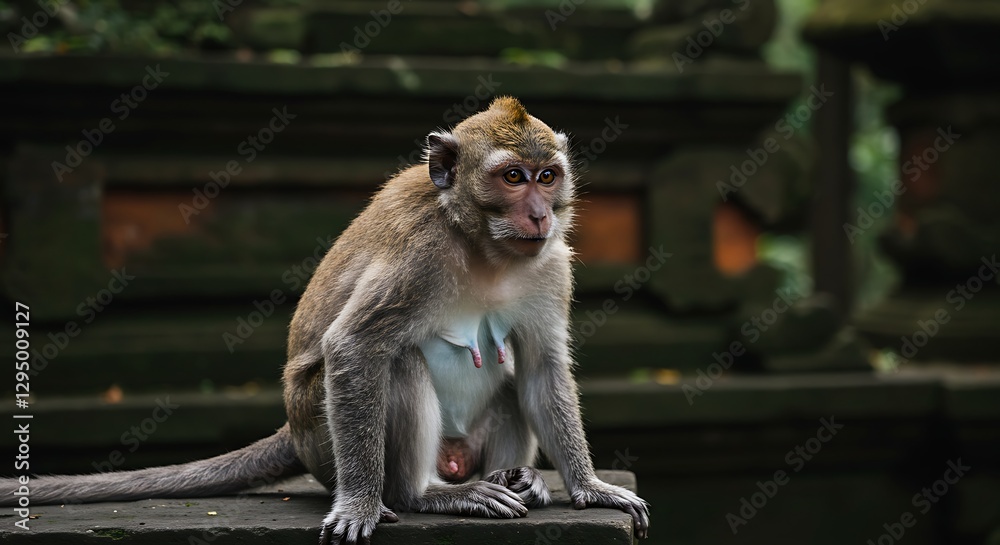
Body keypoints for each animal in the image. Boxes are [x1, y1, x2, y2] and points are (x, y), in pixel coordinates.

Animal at [1, 97, 650, 544]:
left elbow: (542, 366)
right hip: (322, 438)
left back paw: (519, 479)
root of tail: (293, 429)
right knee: (398, 362)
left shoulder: (550, 264)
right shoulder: (418, 254)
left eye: (548, 176)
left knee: (512, 380)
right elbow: (355, 349)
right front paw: (361, 504)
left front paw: (589, 487)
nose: (541, 214)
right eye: (512, 177)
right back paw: (425, 495)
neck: (481, 245)